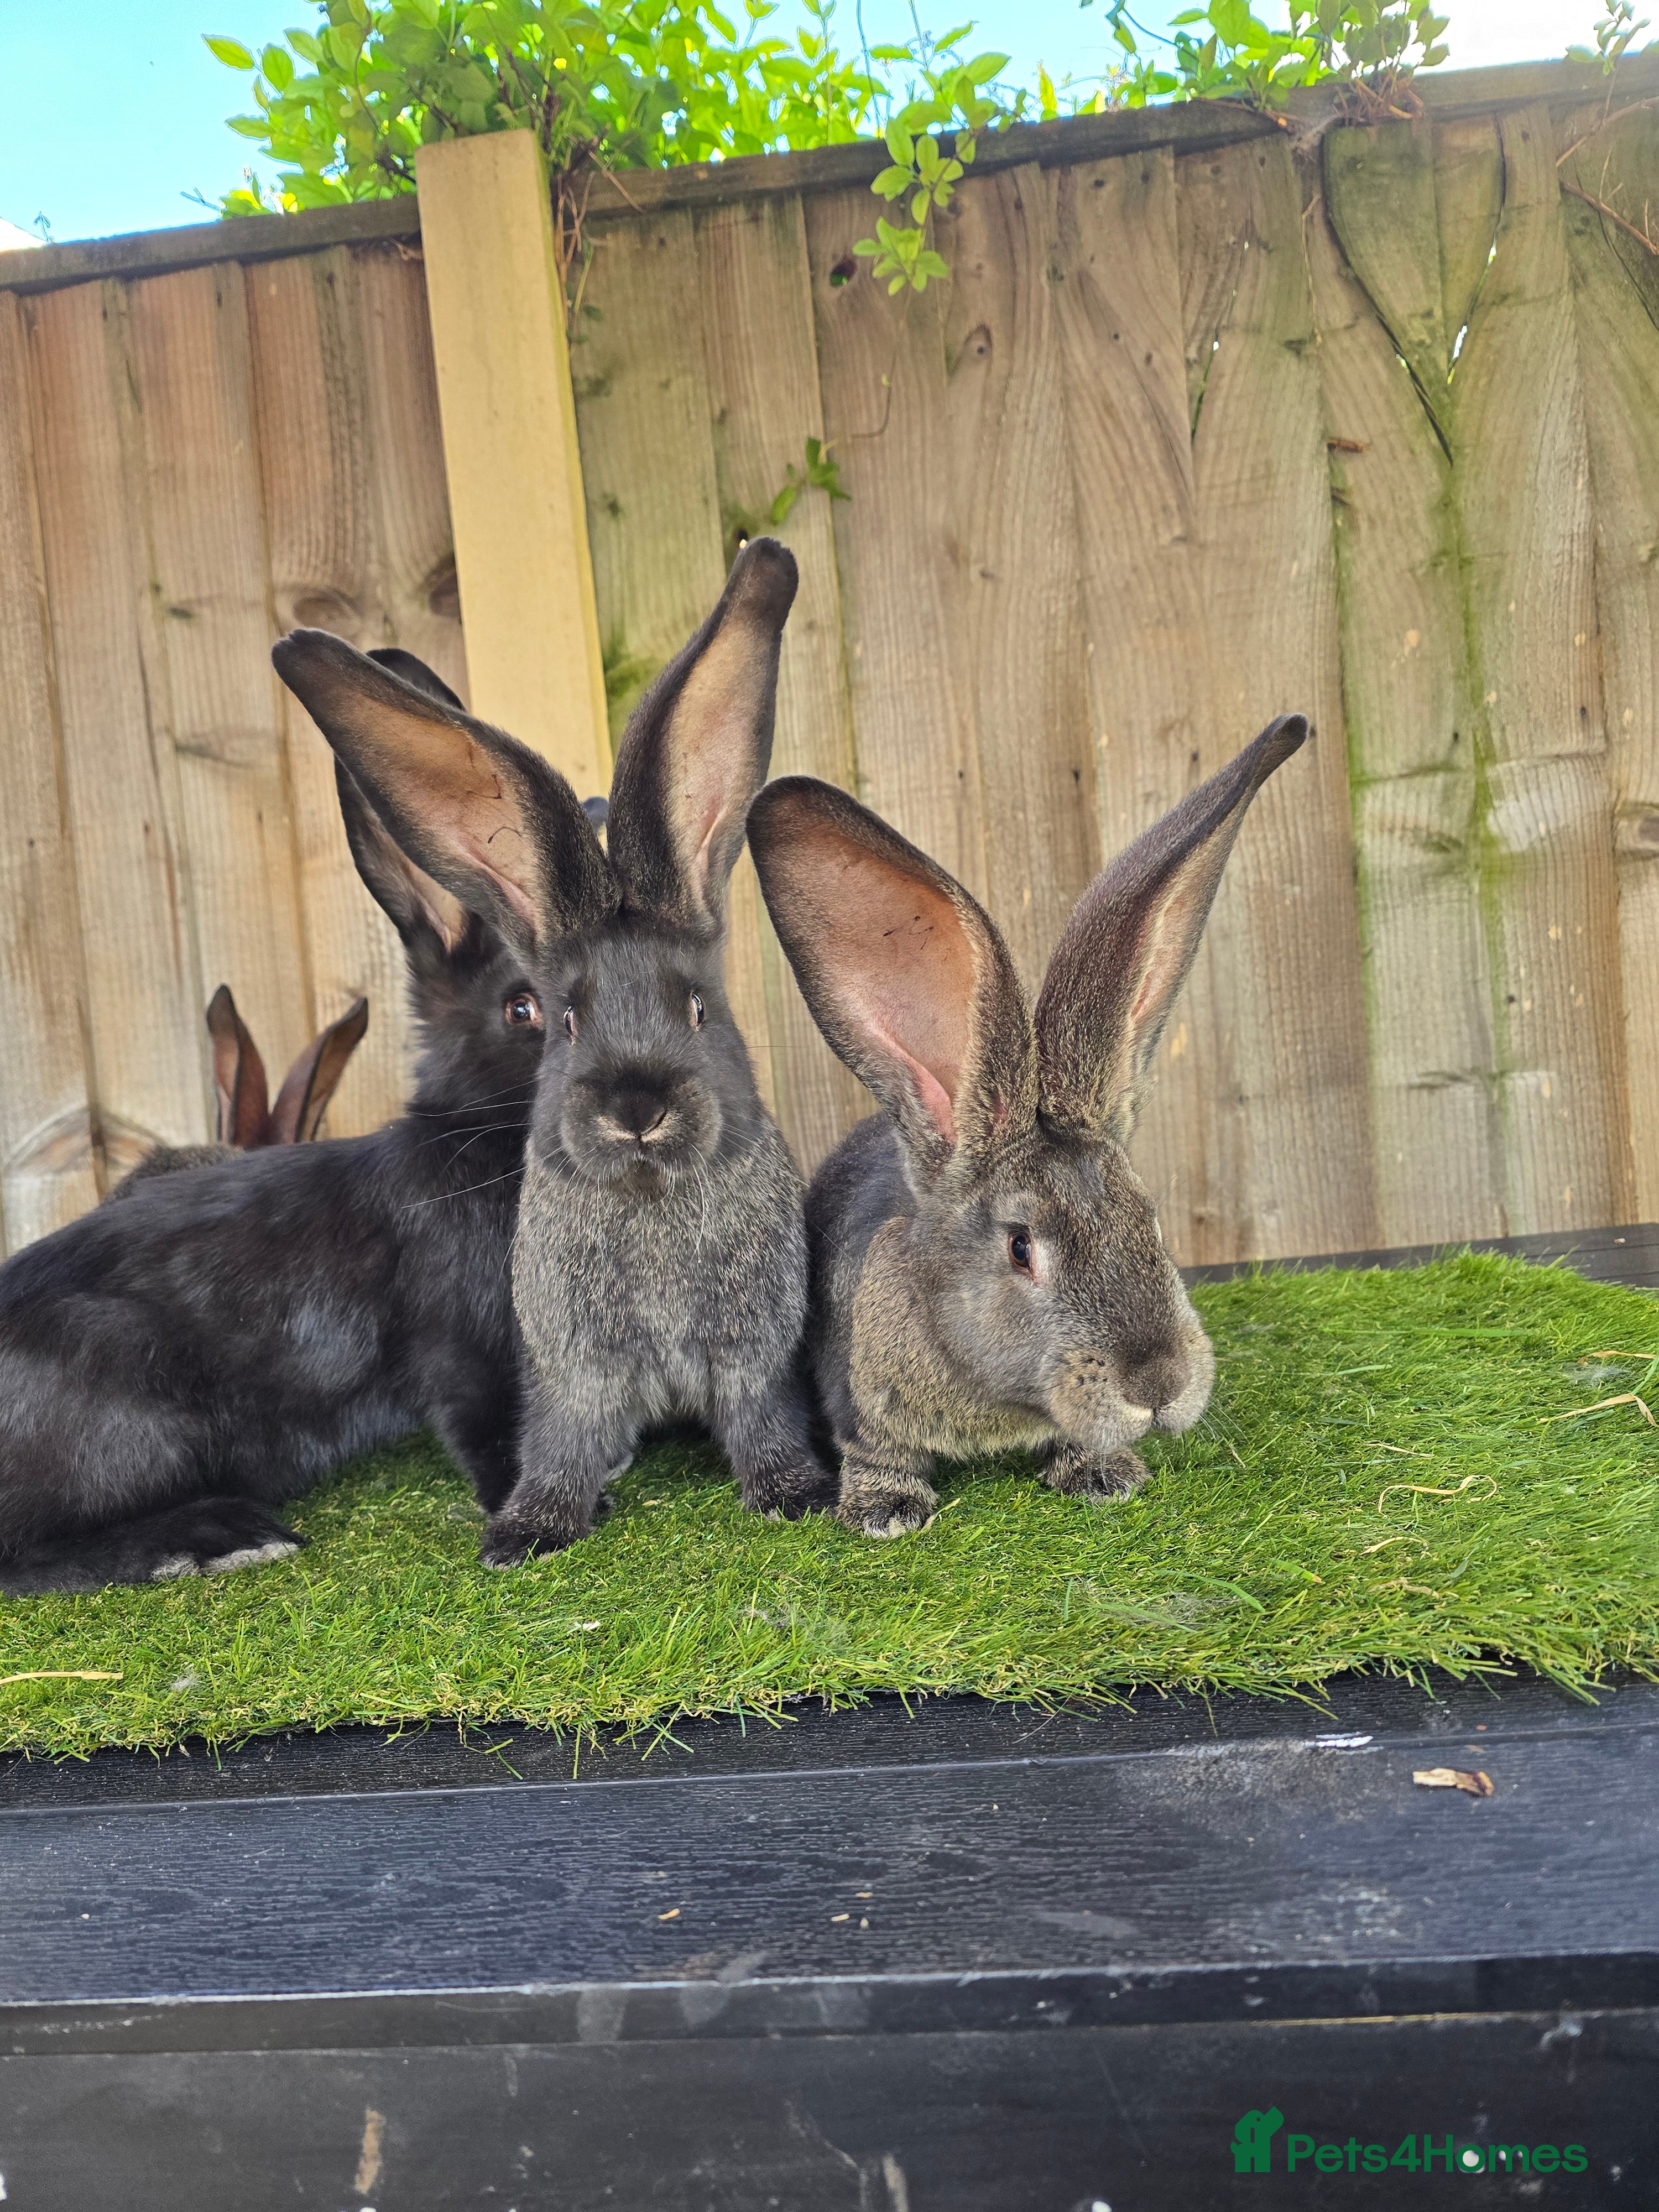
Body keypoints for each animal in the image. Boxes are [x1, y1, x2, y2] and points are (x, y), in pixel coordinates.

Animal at [272, 537, 830, 1564]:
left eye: (699, 1008)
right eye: (562, 1019)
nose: (637, 1108)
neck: (648, 1199)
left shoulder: (752, 1353)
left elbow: (761, 1421)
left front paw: (795, 1494)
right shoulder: (572, 1368)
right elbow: (563, 1441)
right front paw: (528, 1532)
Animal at [746, 714, 1310, 1537]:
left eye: (1152, 1223)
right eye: (1021, 1248)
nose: (1161, 1387)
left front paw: (1102, 1473)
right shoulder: (859, 1403)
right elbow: (877, 1452)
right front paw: (886, 1512)